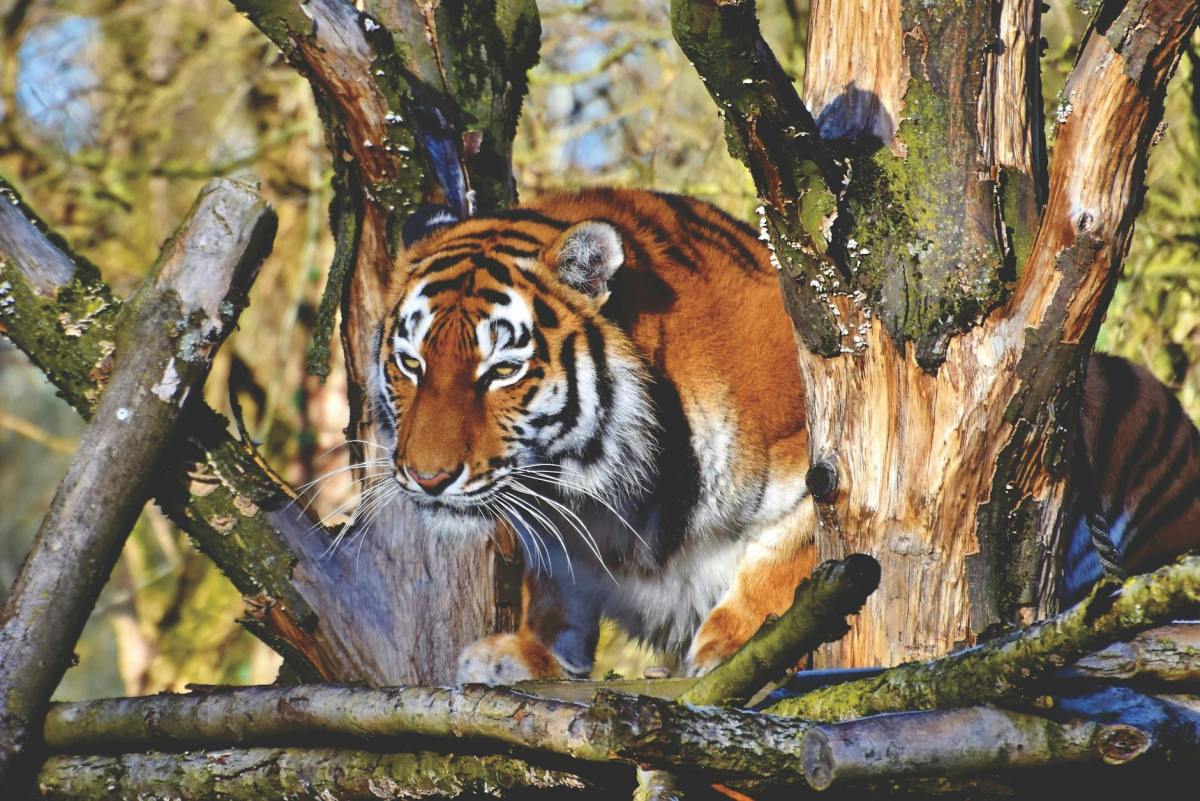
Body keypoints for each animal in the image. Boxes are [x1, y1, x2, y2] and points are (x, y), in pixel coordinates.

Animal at [366, 187, 1200, 683]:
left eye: (500, 370)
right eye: (410, 363)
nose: (426, 476)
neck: (596, 487)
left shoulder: (827, 470)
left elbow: (785, 564)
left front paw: (728, 647)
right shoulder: (554, 518)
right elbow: (557, 586)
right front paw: (523, 652)